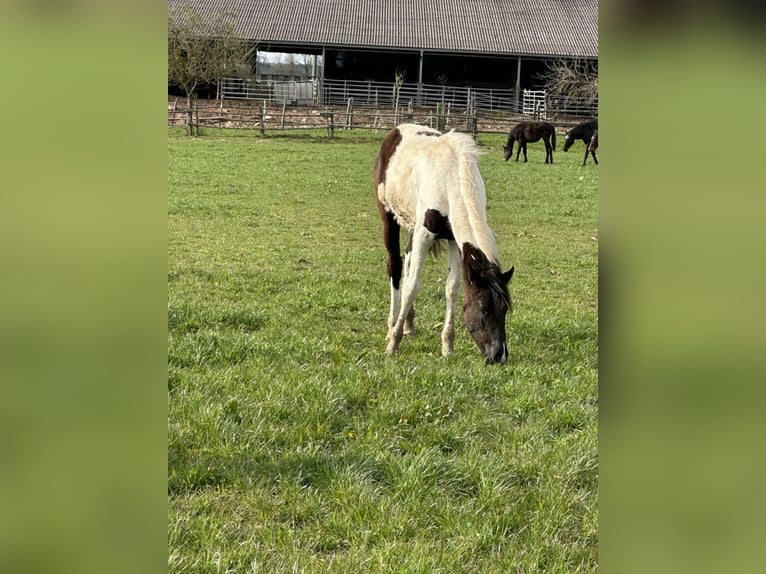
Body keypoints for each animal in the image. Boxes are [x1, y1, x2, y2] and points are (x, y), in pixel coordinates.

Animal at [374, 124, 514, 364]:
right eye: (484, 309)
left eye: (504, 310)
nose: (499, 355)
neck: (454, 178)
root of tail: (396, 130)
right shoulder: (424, 234)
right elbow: (412, 287)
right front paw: (394, 342)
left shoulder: (454, 241)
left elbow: (452, 288)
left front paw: (447, 346)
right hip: (389, 217)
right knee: (395, 266)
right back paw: (392, 325)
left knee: (408, 259)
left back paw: (409, 323)